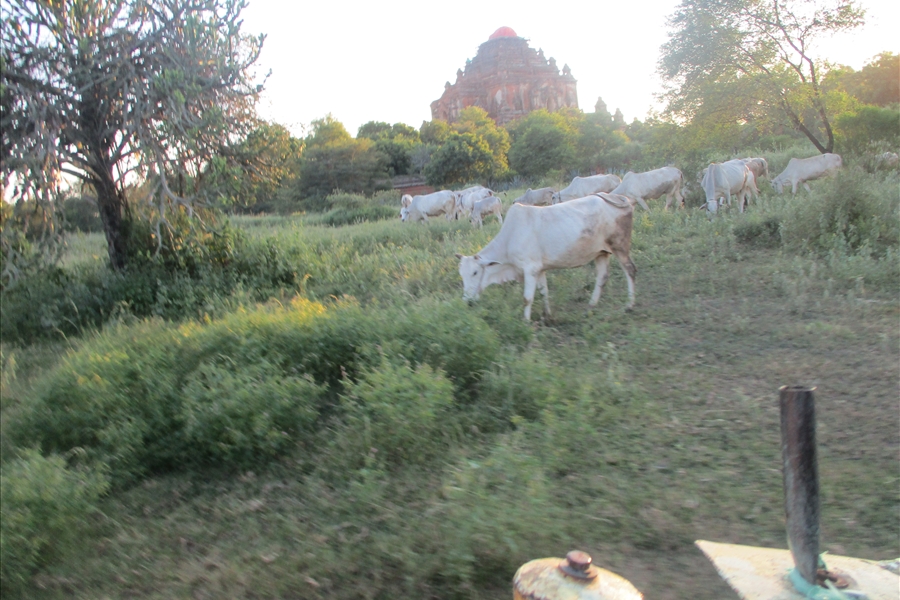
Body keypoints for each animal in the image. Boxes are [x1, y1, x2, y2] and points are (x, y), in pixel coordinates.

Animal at [455, 193, 638, 321]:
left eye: (475, 273)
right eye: (461, 275)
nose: (467, 301)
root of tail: (618, 197)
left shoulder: (530, 269)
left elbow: (527, 298)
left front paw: (526, 322)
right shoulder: (539, 269)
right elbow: (544, 292)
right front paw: (547, 316)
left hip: (620, 246)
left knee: (630, 270)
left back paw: (629, 305)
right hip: (601, 252)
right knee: (602, 277)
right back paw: (590, 307)